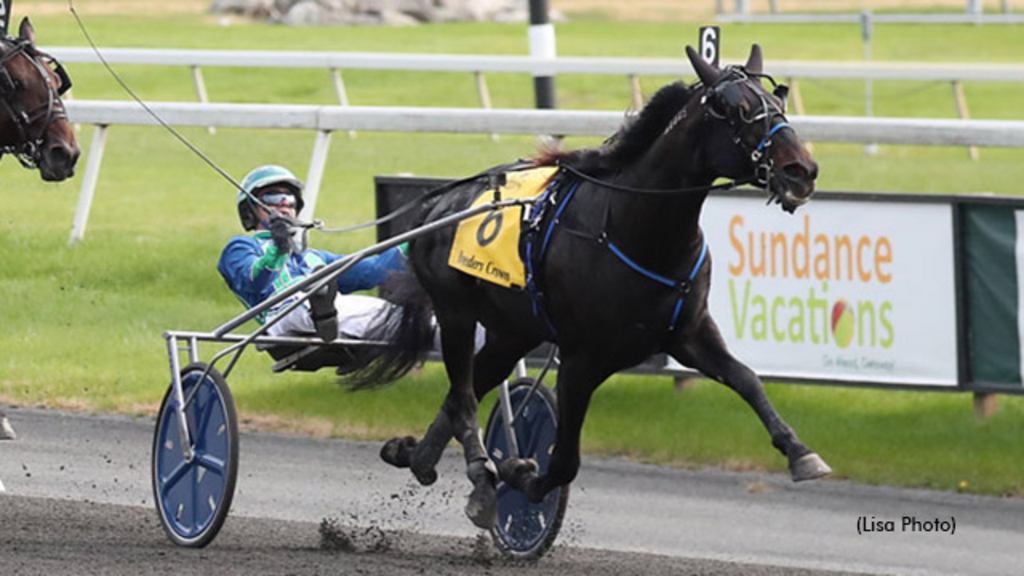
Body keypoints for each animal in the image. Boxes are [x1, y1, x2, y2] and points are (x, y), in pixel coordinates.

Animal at [356, 44, 827, 528]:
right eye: (736, 110)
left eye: (778, 101)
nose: (801, 170)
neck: (635, 229)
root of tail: (437, 205)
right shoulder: (582, 358)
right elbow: (564, 460)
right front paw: (520, 475)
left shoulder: (689, 331)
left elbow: (747, 379)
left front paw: (800, 452)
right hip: (456, 314)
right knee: (465, 396)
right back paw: (481, 477)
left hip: (512, 331)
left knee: (462, 392)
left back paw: (417, 456)